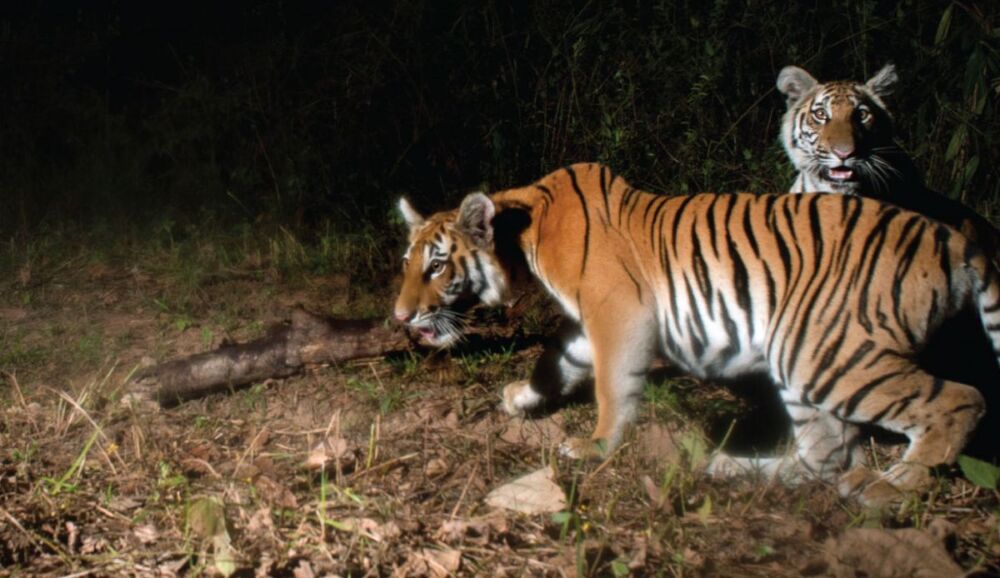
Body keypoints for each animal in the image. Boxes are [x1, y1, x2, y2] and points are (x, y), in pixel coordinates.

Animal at [394, 162, 996, 500]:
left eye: (437, 266)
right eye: (408, 262)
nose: (400, 318)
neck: (524, 233)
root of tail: (952, 238)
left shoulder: (619, 310)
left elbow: (612, 386)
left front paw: (596, 445)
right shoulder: (591, 324)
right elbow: (557, 359)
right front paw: (522, 397)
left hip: (825, 354)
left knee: (960, 401)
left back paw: (889, 487)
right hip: (802, 358)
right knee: (824, 455)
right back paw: (723, 466)